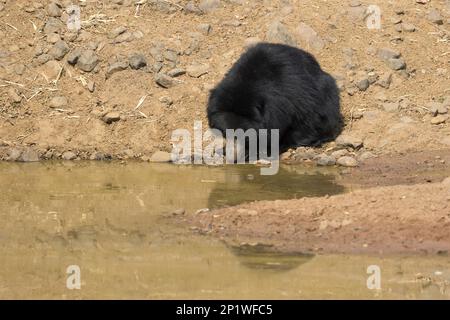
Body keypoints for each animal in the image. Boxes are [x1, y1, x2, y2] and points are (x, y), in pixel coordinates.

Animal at [207, 42, 342, 156]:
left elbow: (306, 120)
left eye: (244, 136)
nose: (231, 155)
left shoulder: (294, 98)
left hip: (328, 94)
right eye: (225, 133)